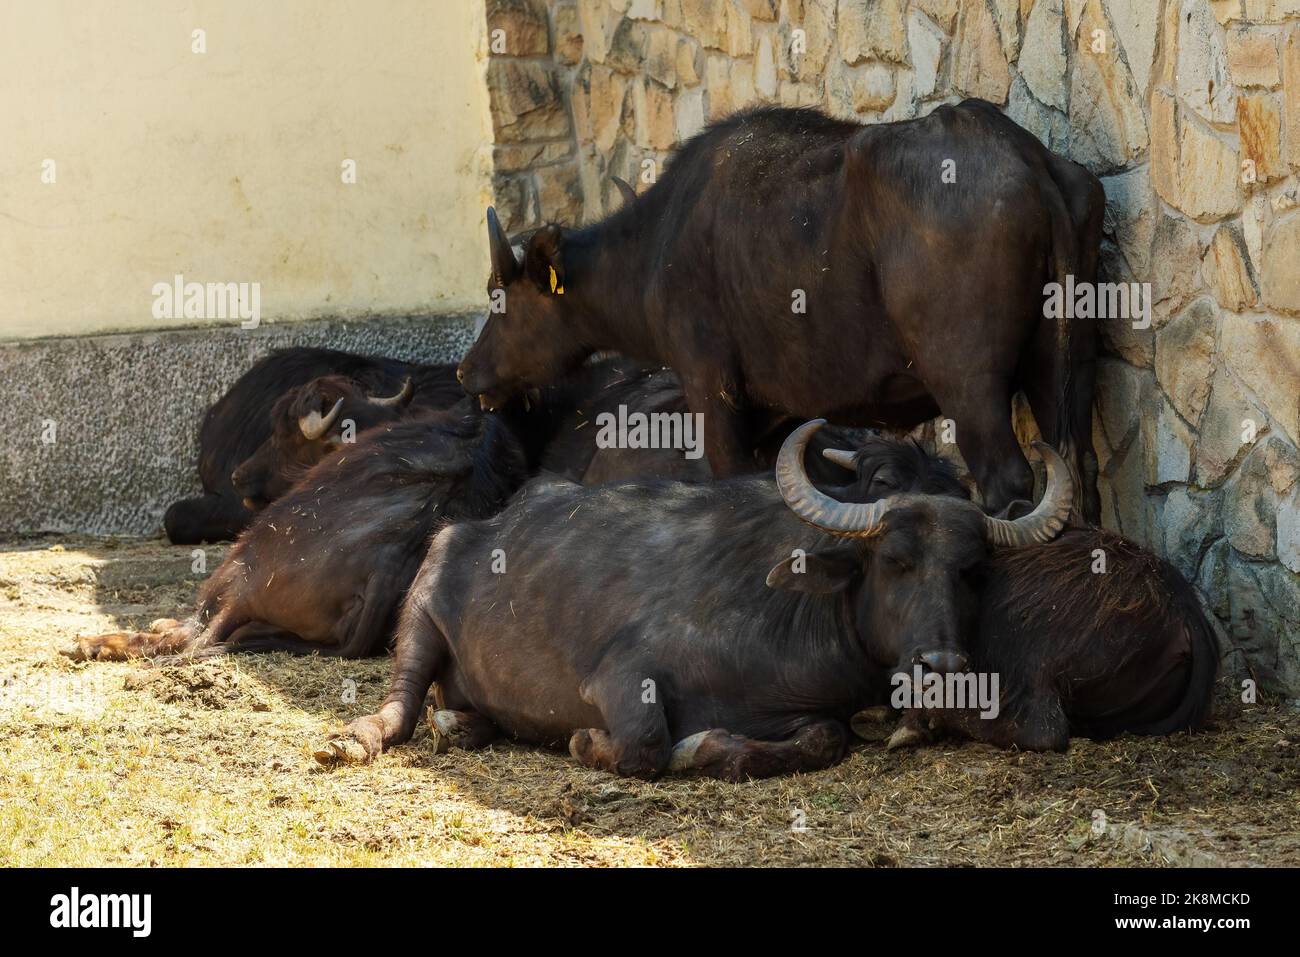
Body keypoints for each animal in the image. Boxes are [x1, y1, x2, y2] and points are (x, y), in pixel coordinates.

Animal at [63, 405, 525, 665]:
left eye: (285, 440)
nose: (239, 476)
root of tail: (389, 560)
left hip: (241, 573)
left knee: (194, 633)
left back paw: (94, 643)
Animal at [312, 421, 1076, 780]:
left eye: (971, 570)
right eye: (895, 560)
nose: (943, 668)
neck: (794, 613)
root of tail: (480, 525)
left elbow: (825, 737)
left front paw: (712, 747)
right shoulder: (619, 677)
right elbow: (647, 743)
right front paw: (591, 741)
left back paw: (464, 725)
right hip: (421, 608)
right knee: (402, 699)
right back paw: (359, 736)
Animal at [452, 100, 1102, 520]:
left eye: (500, 297)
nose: (466, 371)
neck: (657, 247)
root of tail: (1029, 161)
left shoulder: (711, 391)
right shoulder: (777, 417)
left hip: (970, 389)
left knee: (1008, 482)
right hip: (1059, 372)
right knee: (1079, 477)